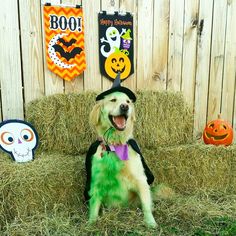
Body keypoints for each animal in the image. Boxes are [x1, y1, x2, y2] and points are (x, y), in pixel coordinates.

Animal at [84, 79, 156, 229]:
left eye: (128, 101)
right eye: (113, 100)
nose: (125, 107)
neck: (115, 145)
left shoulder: (141, 180)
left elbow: (146, 205)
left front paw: (151, 222)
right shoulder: (96, 183)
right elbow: (94, 206)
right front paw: (92, 223)